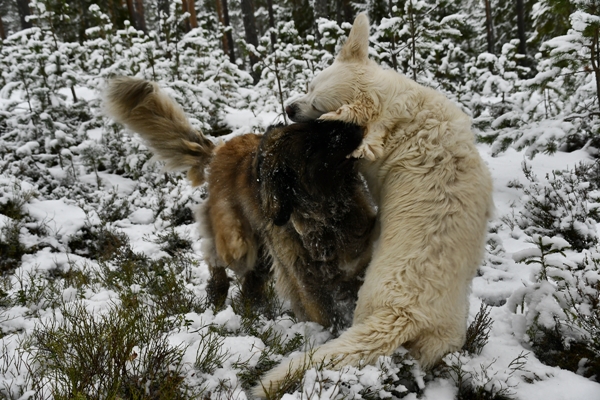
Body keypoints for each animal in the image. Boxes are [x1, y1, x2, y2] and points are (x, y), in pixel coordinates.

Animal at [103, 76, 376, 330]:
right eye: (310, 145)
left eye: (321, 123)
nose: (354, 124)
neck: (328, 210)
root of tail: (218, 150)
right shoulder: (305, 279)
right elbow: (324, 313)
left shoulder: (354, 264)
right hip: (237, 242)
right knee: (218, 259)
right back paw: (219, 296)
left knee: (250, 283)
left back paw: (253, 311)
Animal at [253, 12, 492, 396]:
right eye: (309, 85)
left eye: (320, 110)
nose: (288, 107)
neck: (405, 117)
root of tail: (401, 315)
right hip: (442, 337)